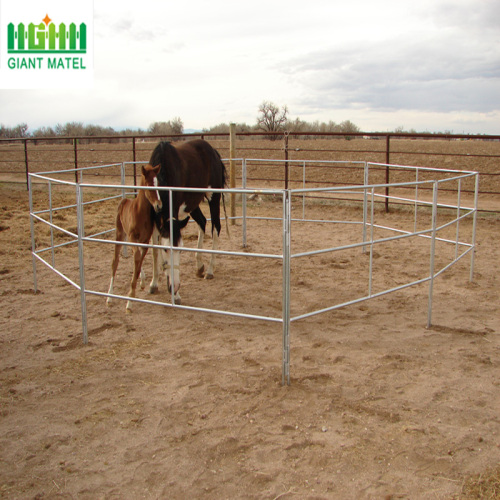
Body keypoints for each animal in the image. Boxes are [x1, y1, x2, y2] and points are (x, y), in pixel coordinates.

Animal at [107, 164, 162, 312]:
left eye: (158, 183)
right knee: (115, 262)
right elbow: (137, 258)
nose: (159, 205)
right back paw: (109, 297)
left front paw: (136, 288)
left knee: (135, 256)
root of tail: (124, 200)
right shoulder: (132, 236)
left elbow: (139, 260)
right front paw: (129, 300)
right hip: (120, 234)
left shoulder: (145, 240)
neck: (140, 211)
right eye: (149, 184)